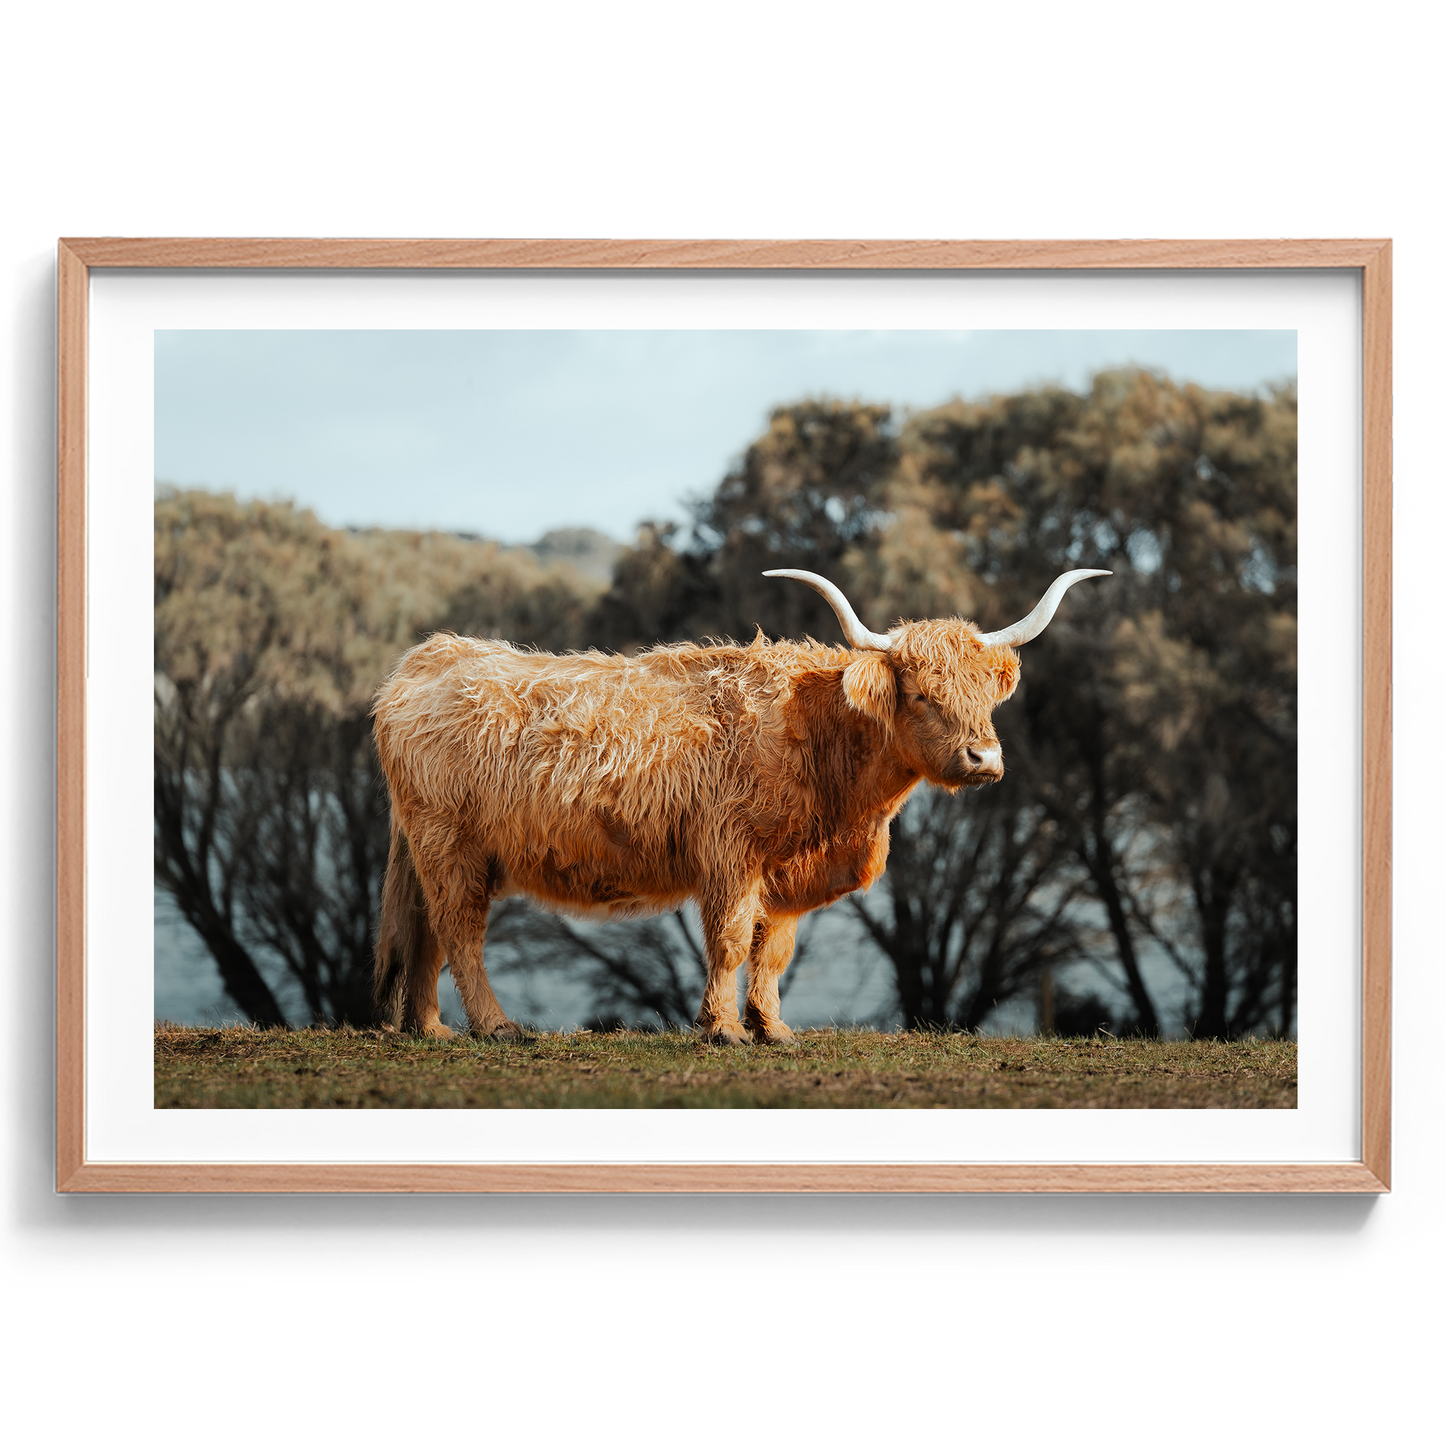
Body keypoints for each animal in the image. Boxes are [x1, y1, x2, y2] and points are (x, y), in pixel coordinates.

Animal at [371, 567, 1108, 1044]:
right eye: (923, 695)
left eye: (985, 694)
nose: (984, 759)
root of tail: (429, 656)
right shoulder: (730, 853)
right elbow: (728, 940)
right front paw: (722, 1028)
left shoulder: (784, 870)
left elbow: (772, 949)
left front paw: (773, 1028)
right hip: (451, 844)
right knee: (460, 931)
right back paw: (495, 1027)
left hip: (434, 850)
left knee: (426, 932)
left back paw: (431, 1029)